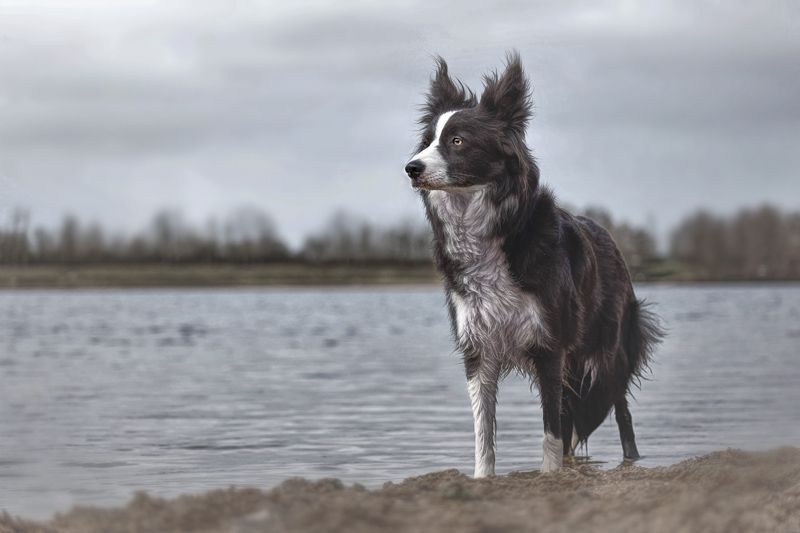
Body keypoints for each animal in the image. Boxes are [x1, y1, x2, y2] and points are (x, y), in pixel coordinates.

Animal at [406, 54, 664, 476]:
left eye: (458, 141)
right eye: (427, 141)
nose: (410, 168)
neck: (486, 230)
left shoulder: (549, 347)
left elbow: (550, 432)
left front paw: (549, 476)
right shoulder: (479, 350)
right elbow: (484, 434)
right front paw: (483, 478)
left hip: (607, 353)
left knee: (620, 414)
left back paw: (632, 461)